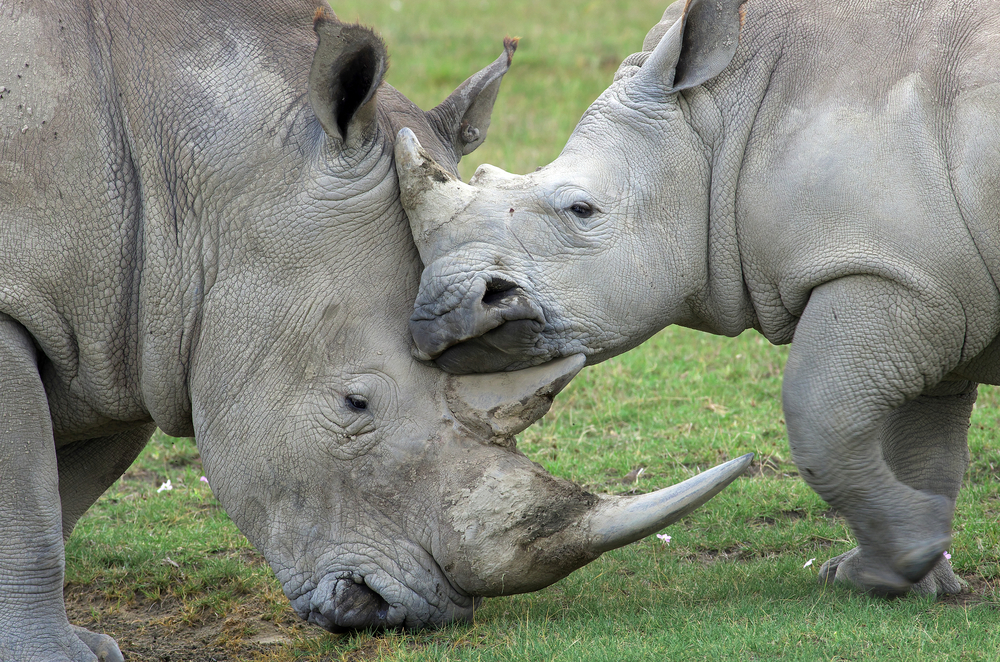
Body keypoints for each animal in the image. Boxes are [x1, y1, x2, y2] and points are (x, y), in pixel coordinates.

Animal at [0, 1, 755, 659]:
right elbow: (29, 506)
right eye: (353, 403)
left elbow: (66, 494)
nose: (395, 615)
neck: (187, 185)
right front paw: (54, 657)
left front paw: (82, 646)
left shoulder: (130, 331)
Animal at [394, 0, 1000, 599]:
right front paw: (911, 571)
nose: (439, 312)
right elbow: (923, 441)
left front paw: (889, 568)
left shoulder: (897, 274)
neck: (717, 122)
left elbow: (820, 414)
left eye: (581, 210)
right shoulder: (935, 285)